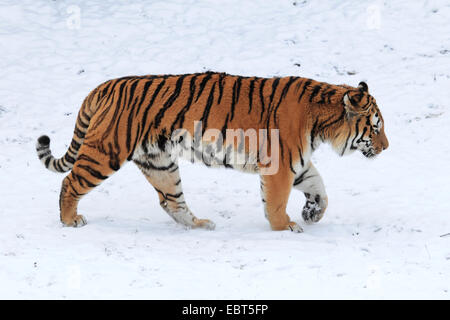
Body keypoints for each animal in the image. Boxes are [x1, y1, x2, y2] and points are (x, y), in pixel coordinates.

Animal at [35, 72, 388, 232]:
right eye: (375, 127)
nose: (386, 147)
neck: (322, 121)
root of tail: (103, 86)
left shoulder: (297, 164)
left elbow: (320, 189)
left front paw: (312, 213)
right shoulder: (280, 165)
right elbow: (276, 202)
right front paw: (285, 226)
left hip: (160, 162)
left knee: (171, 201)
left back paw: (200, 224)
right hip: (105, 152)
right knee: (70, 183)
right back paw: (70, 220)